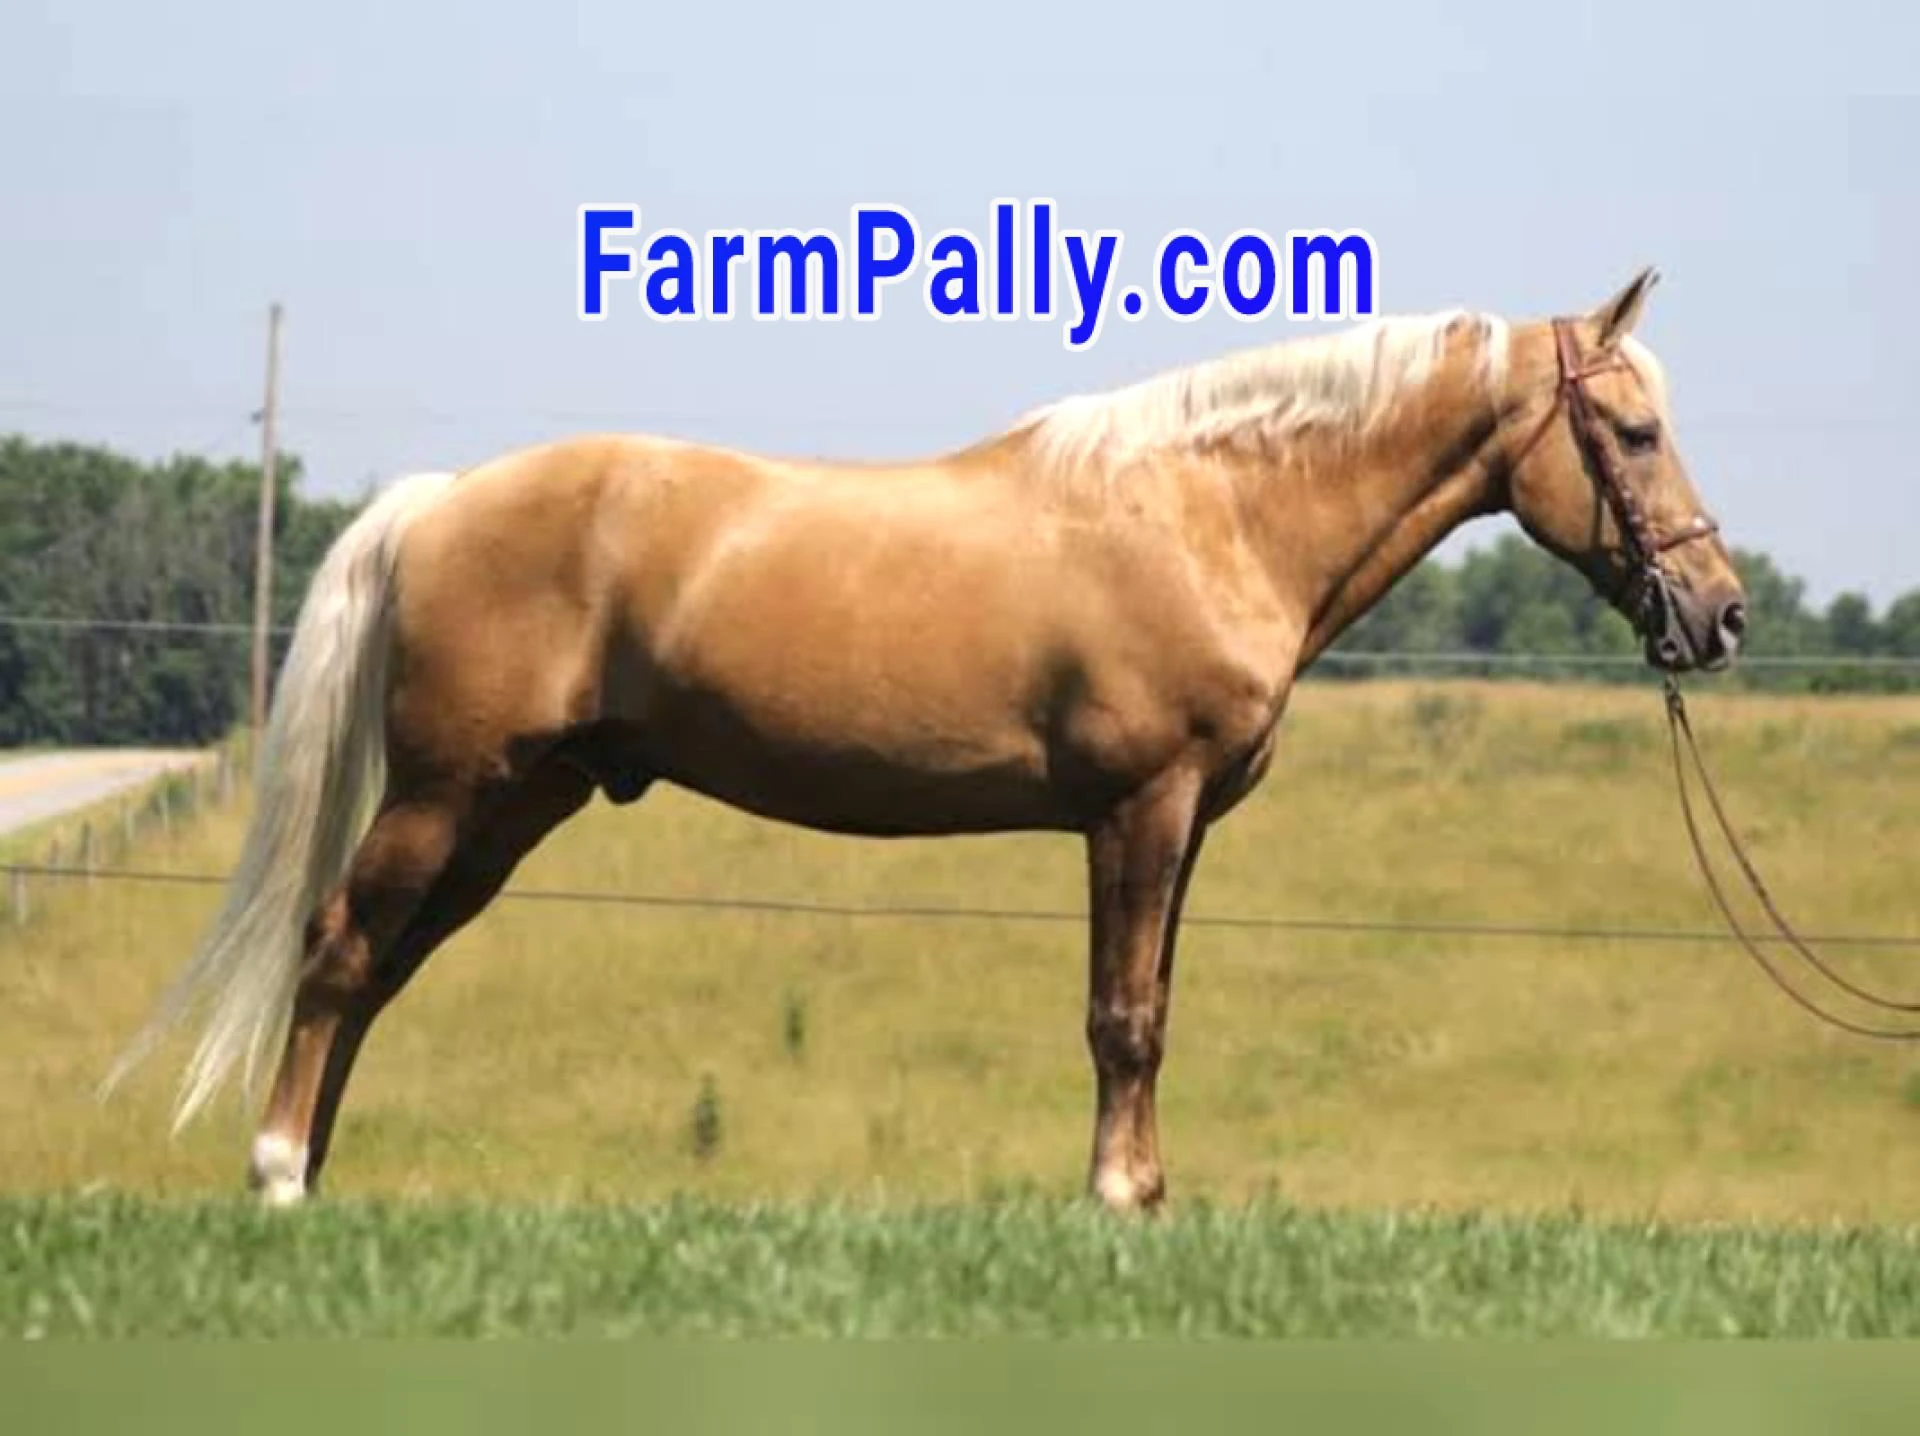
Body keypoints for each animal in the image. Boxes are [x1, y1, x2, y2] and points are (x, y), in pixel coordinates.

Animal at [105, 266, 1747, 1211]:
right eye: (1637, 433)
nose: (1719, 612)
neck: (1207, 509)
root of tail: (442, 499)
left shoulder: (1183, 824)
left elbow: (1156, 1014)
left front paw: (1149, 1199)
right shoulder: (1139, 808)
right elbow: (1121, 1019)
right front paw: (1114, 1205)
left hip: (514, 808)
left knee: (377, 971)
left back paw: (313, 1180)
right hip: (451, 794)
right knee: (337, 952)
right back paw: (275, 1175)